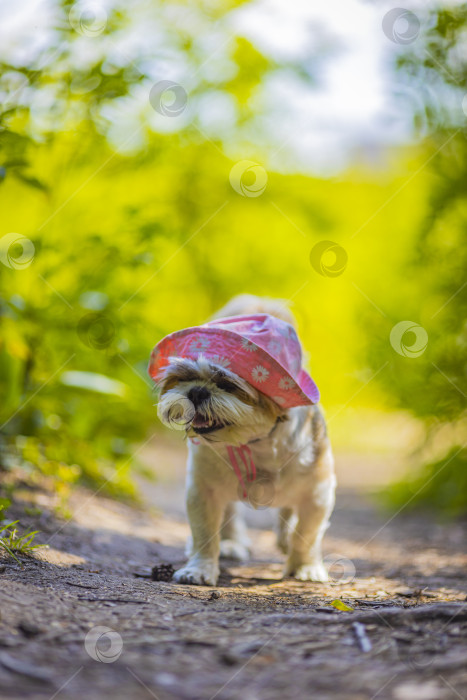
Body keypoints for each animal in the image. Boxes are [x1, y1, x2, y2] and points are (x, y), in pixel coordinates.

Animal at [150, 296, 336, 584]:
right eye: (184, 378)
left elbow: (306, 534)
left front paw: (305, 567)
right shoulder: (203, 490)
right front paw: (200, 568)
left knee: (288, 517)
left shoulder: (318, 492)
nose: (197, 391)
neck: (253, 444)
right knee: (228, 514)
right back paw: (230, 543)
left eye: (227, 384)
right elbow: (205, 533)